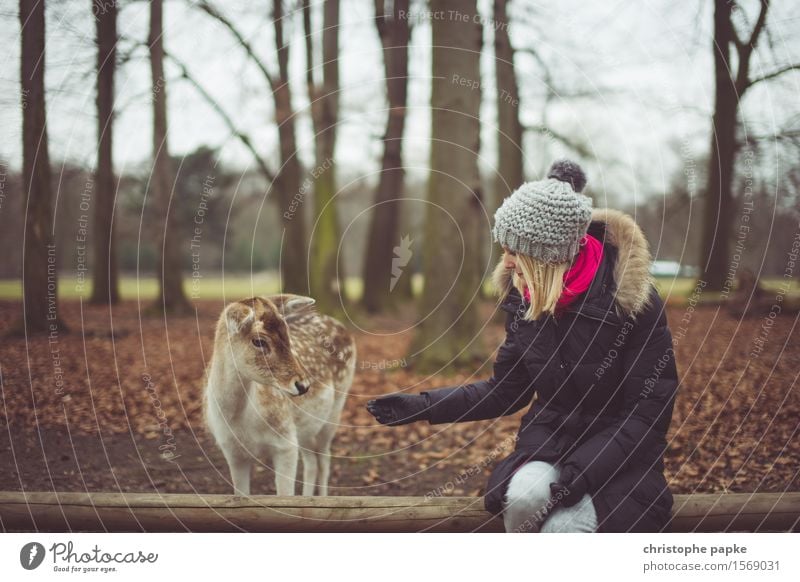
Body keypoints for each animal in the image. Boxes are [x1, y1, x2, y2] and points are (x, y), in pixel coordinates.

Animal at [203, 296, 356, 498]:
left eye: (287, 334)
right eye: (259, 341)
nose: (303, 385)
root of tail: (344, 328)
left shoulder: (286, 442)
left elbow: (284, 495)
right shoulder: (230, 450)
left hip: (335, 410)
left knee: (324, 459)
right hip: (305, 427)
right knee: (311, 461)